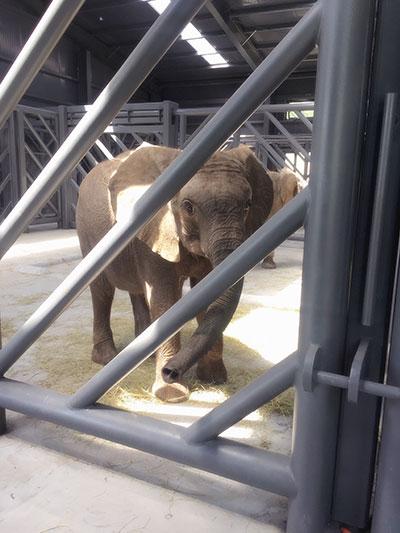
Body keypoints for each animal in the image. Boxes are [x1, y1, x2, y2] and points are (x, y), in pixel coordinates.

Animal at [76, 143, 274, 402]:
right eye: (188, 207)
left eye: (248, 205)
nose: (170, 372)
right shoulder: (155, 227)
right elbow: (165, 300)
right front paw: (171, 394)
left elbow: (207, 294)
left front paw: (214, 379)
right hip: (87, 232)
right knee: (102, 291)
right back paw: (106, 358)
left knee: (136, 290)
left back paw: (146, 355)